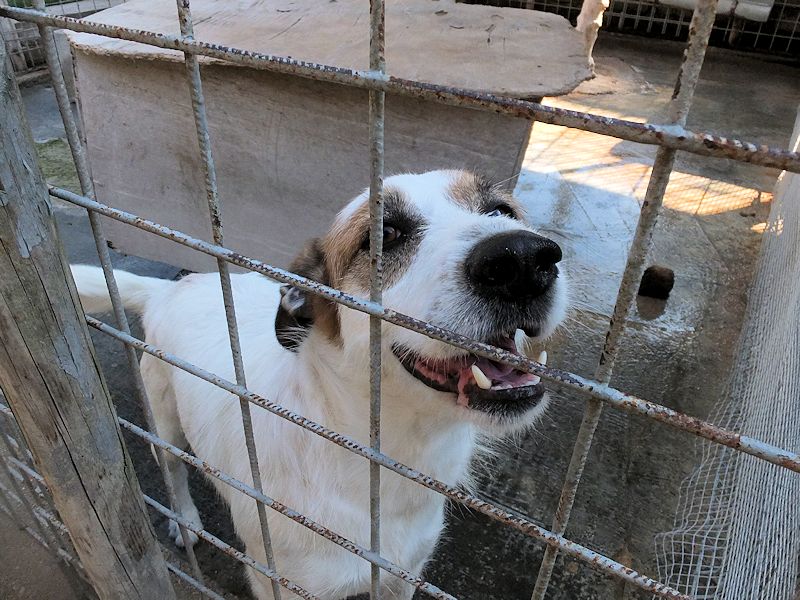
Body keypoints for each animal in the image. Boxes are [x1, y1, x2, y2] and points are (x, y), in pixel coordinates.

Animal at [71, 169, 568, 599]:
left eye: (502, 211)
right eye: (385, 235)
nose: (523, 258)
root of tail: (171, 288)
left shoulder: (403, 577)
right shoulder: (278, 582)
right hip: (164, 416)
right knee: (172, 466)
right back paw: (185, 519)